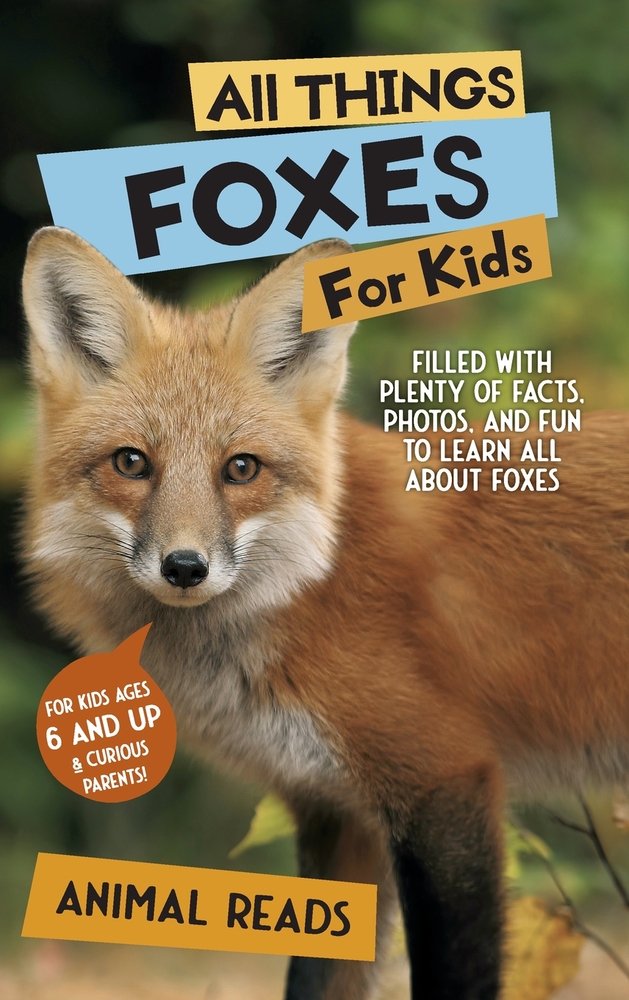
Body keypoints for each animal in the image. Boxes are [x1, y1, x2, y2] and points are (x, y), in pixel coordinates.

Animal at [20, 225, 629, 1000]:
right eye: (131, 463)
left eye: (240, 469)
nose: (184, 567)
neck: (311, 579)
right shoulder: (334, 808)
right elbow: (314, 981)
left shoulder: (443, 778)